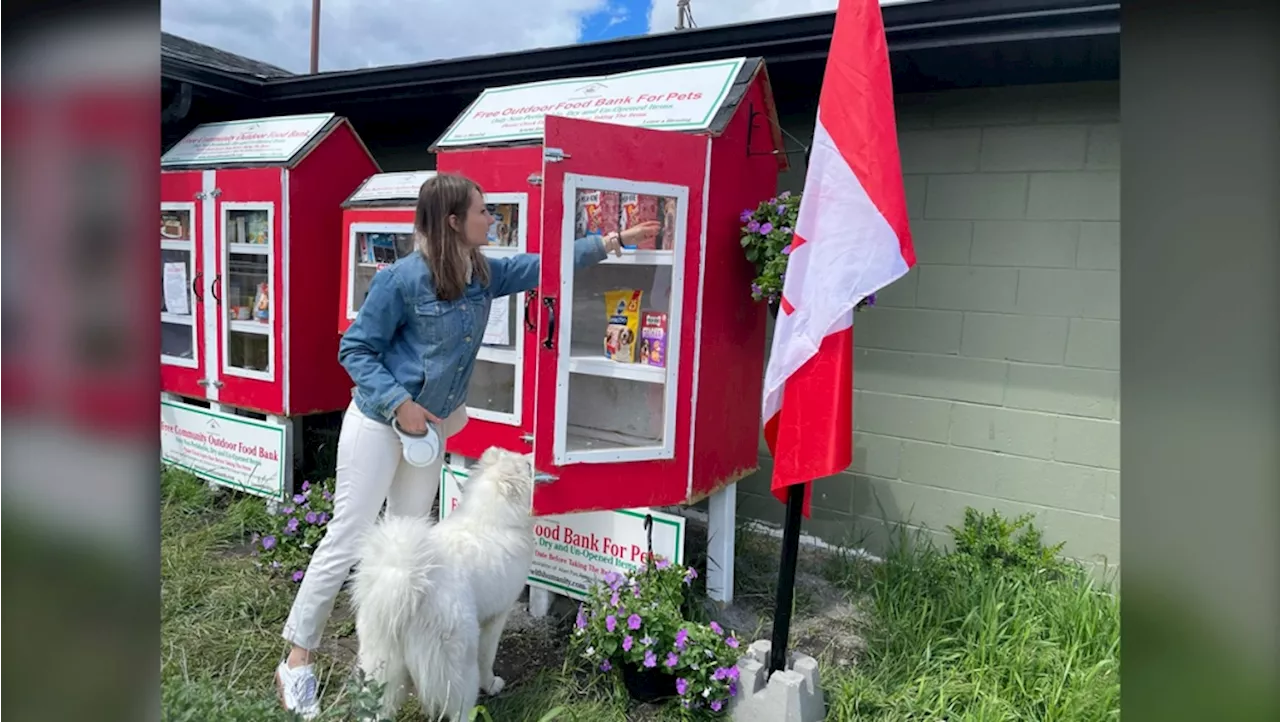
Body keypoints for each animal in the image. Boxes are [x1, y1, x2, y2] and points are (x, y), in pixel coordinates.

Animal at [348, 448, 537, 716]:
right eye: (528, 466)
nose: (534, 452)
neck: (490, 517)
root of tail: (405, 583)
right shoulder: (496, 617)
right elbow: (487, 657)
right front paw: (492, 684)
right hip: (457, 664)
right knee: (459, 707)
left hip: (382, 666)